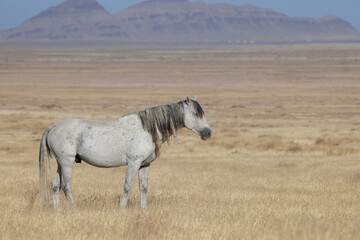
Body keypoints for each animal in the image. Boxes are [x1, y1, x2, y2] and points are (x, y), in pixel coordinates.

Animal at [39, 95, 211, 208]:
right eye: (196, 113)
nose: (208, 133)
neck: (147, 130)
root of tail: (52, 127)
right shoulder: (133, 163)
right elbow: (127, 186)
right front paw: (122, 209)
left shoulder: (144, 165)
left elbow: (143, 187)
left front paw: (144, 210)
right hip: (67, 163)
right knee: (66, 186)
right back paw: (74, 209)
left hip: (61, 164)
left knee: (55, 185)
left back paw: (57, 210)